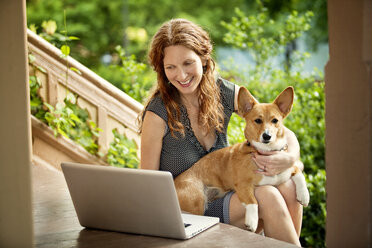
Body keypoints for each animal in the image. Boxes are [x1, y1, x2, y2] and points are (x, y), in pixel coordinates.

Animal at [174, 86, 310, 232]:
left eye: (275, 121)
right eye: (258, 120)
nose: (267, 136)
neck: (264, 152)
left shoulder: (286, 168)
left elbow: (298, 173)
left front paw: (304, 195)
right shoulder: (243, 185)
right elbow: (253, 201)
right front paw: (252, 221)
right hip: (197, 202)